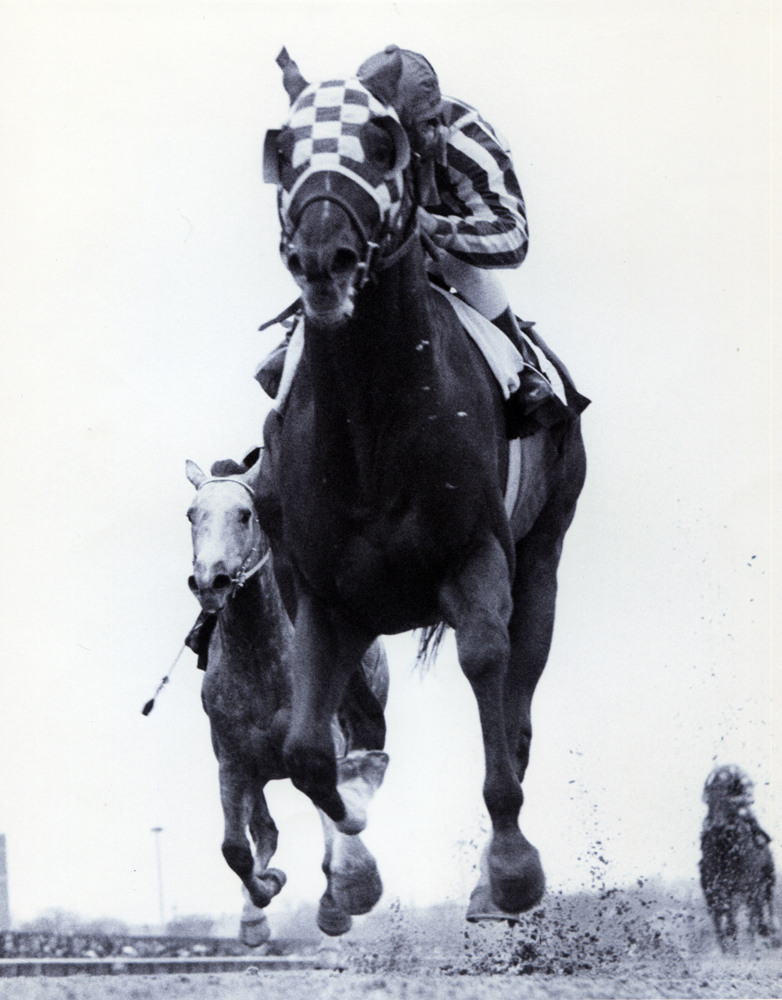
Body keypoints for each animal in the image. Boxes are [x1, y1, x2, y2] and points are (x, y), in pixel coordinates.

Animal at [185, 458, 392, 948]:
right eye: (191, 515)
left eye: (245, 514)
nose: (210, 582)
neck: (260, 656)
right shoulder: (233, 760)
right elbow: (235, 849)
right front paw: (262, 899)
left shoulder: (324, 744)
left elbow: (334, 826)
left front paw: (342, 901)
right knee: (264, 830)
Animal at [258, 50, 588, 916]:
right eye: (284, 147)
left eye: (381, 144)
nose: (322, 258)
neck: (371, 422)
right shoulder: (320, 593)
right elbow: (307, 751)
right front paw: (351, 866)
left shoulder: (477, 557)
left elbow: (487, 666)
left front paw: (510, 869)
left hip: (545, 553)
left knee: (518, 705)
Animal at [700, 764, 776, 952]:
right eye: (710, 800)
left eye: (728, 800)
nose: (718, 826)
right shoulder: (721, 889)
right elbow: (728, 921)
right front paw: (730, 948)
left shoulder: (750, 886)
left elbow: (749, 917)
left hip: (768, 879)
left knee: (766, 904)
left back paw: (769, 933)